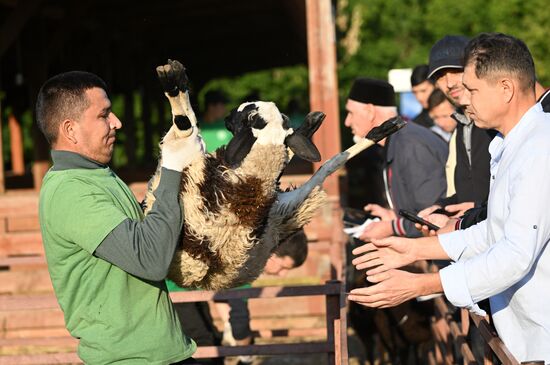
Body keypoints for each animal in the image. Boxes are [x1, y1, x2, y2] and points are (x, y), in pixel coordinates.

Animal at [146, 59, 406, 290]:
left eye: (246, 111)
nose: (227, 116)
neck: (250, 185)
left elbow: (185, 125)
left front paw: (173, 78)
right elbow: (330, 163)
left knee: (185, 125)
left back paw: (173, 80)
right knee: (314, 159)